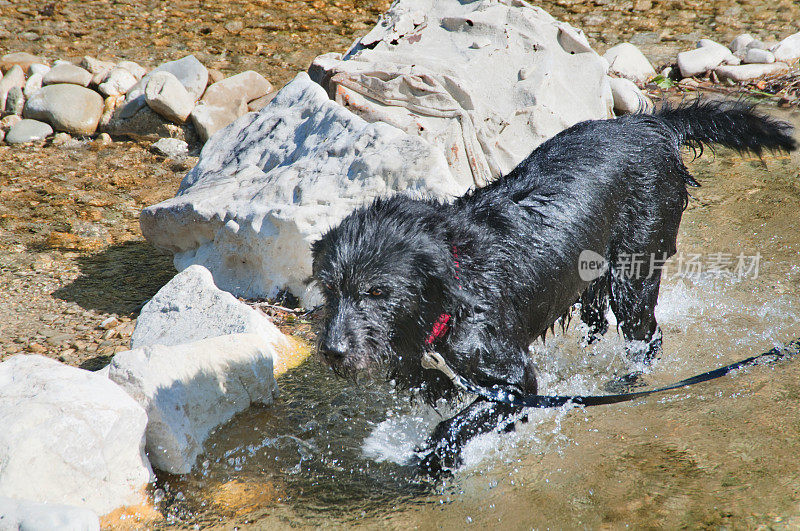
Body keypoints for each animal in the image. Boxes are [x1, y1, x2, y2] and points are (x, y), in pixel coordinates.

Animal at [310, 100, 796, 474]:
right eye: (330, 290)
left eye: (377, 292)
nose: (333, 351)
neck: (455, 288)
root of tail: (648, 124)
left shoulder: (514, 382)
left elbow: (461, 421)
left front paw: (435, 458)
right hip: (591, 282)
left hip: (634, 273)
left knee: (647, 336)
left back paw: (627, 381)